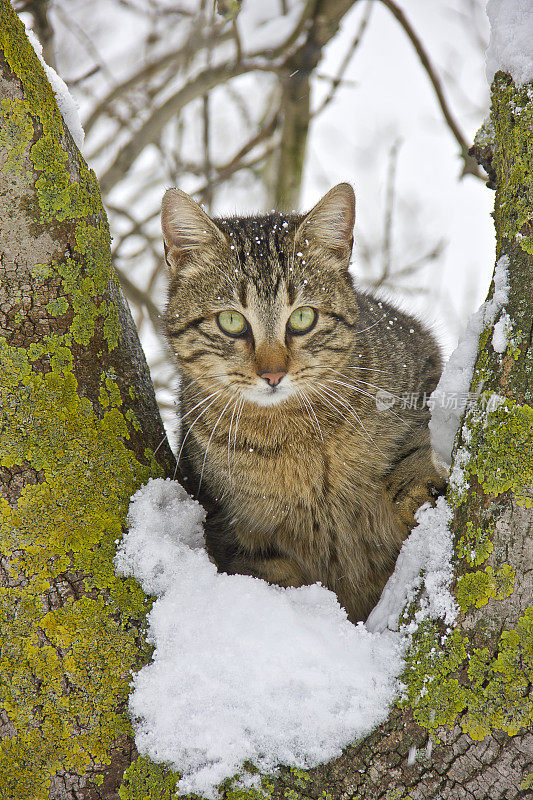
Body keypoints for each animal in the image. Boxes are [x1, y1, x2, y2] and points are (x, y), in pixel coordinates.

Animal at [161, 184, 444, 620]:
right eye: (231, 321)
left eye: (303, 318)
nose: (273, 374)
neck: (295, 435)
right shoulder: (232, 527)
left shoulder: (423, 364)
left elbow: (415, 449)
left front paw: (419, 492)